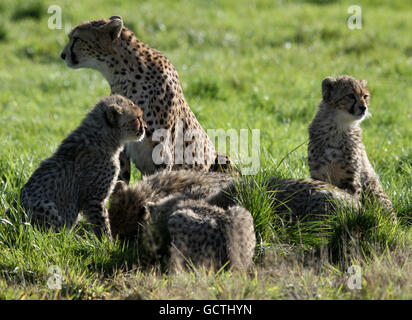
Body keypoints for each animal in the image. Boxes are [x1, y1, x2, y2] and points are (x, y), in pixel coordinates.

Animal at [8, 95, 146, 238]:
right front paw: (107, 242)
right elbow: (102, 225)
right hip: (46, 206)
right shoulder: (93, 199)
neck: (104, 136)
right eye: (137, 118)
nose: (145, 127)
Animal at [61, 16, 235, 182]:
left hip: (221, 159)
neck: (121, 75)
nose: (62, 55)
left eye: (76, 38)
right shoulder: (122, 145)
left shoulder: (162, 149)